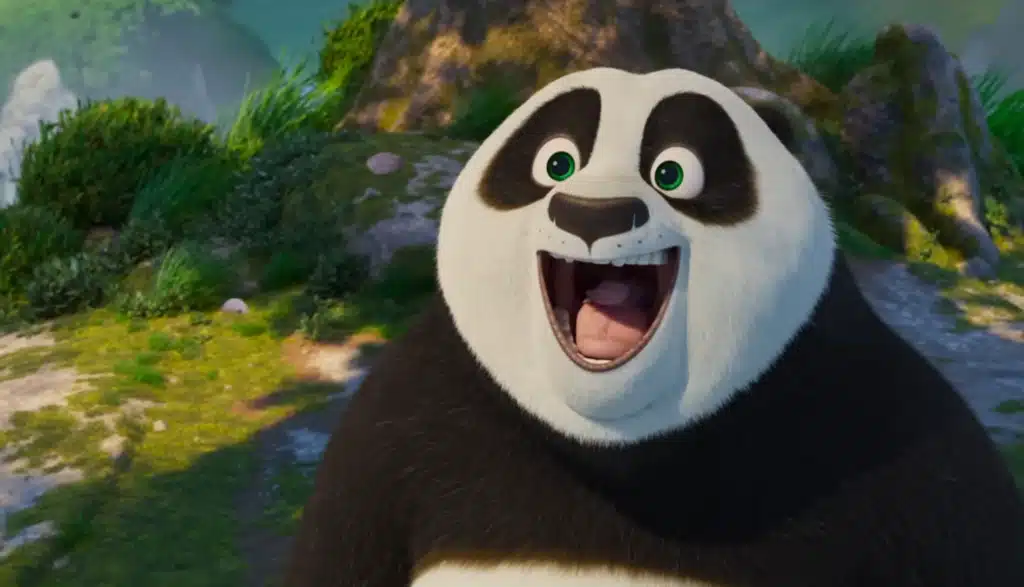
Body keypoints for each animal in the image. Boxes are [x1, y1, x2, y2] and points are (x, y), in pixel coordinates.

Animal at [283, 67, 1024, 587]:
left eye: (673, 172)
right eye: (556, 162)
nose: (594, 214)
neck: (615, 440)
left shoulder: (892, 433)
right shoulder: (400, 429)